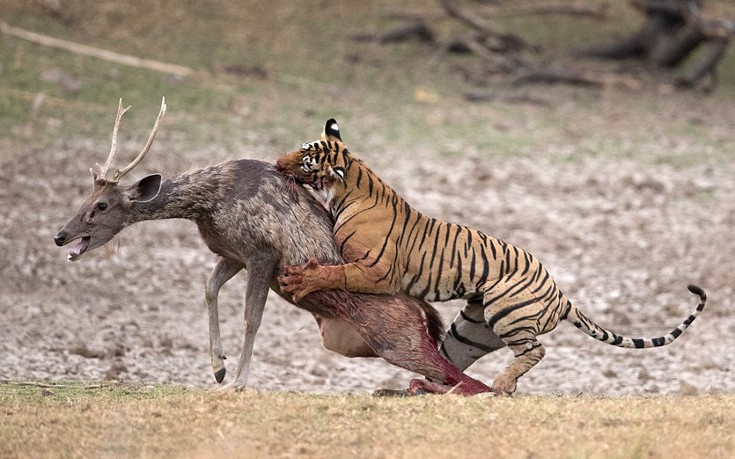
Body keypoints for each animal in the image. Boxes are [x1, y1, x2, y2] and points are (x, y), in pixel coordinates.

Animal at [54, 99, 498, 398]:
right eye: (86, 196)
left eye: (101, 205)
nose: (60, 235)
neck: (209, 203)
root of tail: (424, 315)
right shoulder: (231, 252)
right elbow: (209, 289)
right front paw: (217, 367)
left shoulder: (261, 253)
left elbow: (252, 318)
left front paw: (237, 381)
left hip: (400, 341)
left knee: (470, 379)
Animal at [274, 119, 708, 396]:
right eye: (300, 148)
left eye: (306, 159)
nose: (277, 163)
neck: (349, 186)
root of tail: (560, 294)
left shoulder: (377, 271)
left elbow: (336, 273)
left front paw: (303, 279)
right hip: (469, 330)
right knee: (449, 367)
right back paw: (424, 389)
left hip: (506, 312)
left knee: (535, 350)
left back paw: (501, 384)